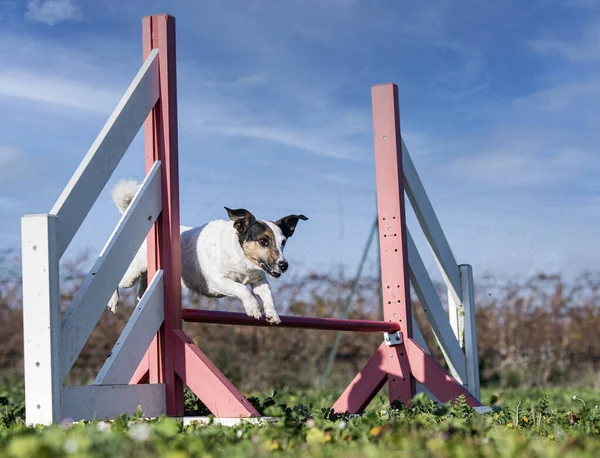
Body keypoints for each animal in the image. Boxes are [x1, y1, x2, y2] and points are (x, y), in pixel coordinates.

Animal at [105, 179, 308, 326]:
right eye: (263, 241)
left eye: (283, 242)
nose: (284, 265)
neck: (241, 259)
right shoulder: (218, 280)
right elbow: (241, 288)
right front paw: (253, 308)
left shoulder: (259, 281)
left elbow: (268, 295)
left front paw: (272, 314)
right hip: (131, 274)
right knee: (117, 280)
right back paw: (113, 301)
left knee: (141, 289)